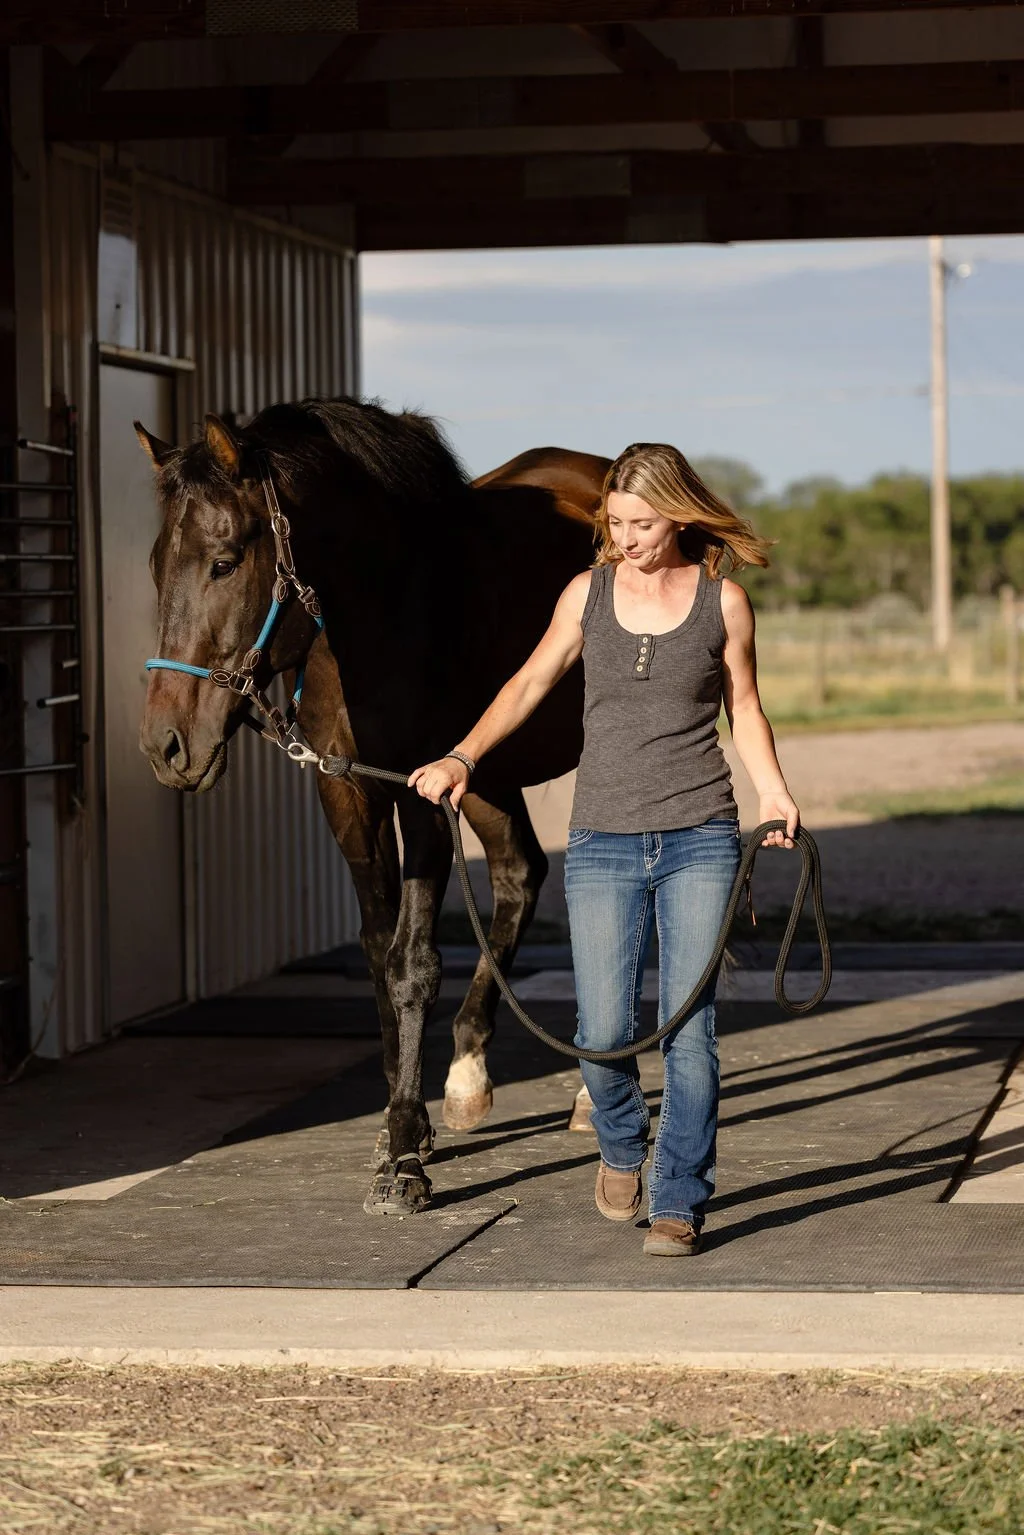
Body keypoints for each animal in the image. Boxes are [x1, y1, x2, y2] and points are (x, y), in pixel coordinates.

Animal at [136, 398, 608, 1215]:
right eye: (158, 564)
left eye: (223, 561)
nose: (167, 746)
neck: (386, 610)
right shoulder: (349, 790)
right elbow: (377, 953)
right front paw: (400, 1129)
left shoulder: (423, 795)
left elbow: (412, 962)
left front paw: (406, 1165)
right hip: (490, 775)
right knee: (521, 872)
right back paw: (468, 1076)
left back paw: (585, 1091)